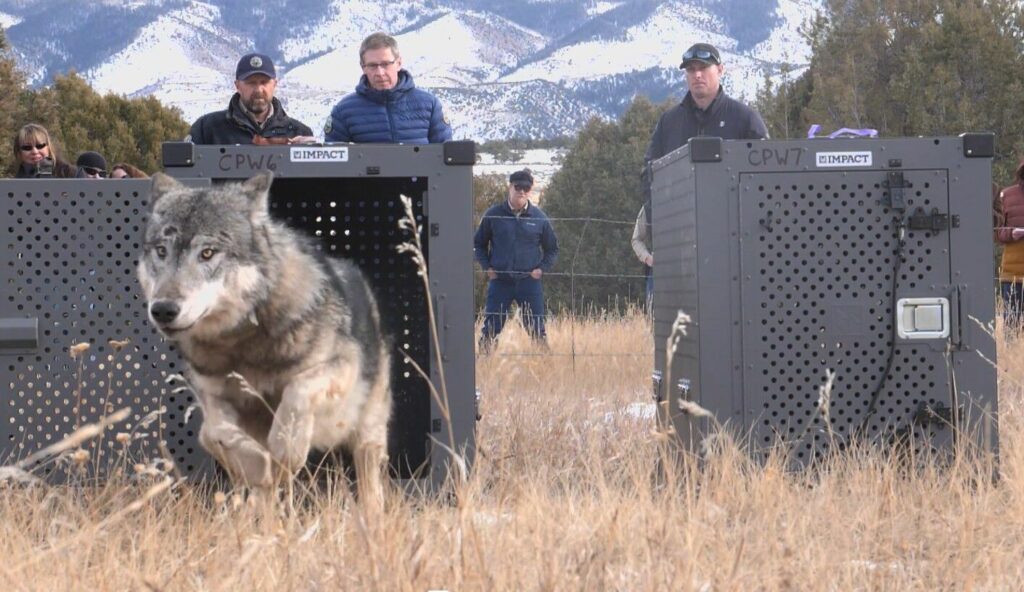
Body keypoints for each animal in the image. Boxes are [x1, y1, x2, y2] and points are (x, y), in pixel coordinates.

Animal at [137, 171, 391, 504]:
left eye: (207, 253)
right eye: (161, 251)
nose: (163, 310)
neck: (242, 344)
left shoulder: (340, 368)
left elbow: (297, 391)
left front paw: (286, 448)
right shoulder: (212, 395)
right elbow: (212, 433)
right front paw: (259, 464)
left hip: (367, 435)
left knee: (371, 484)